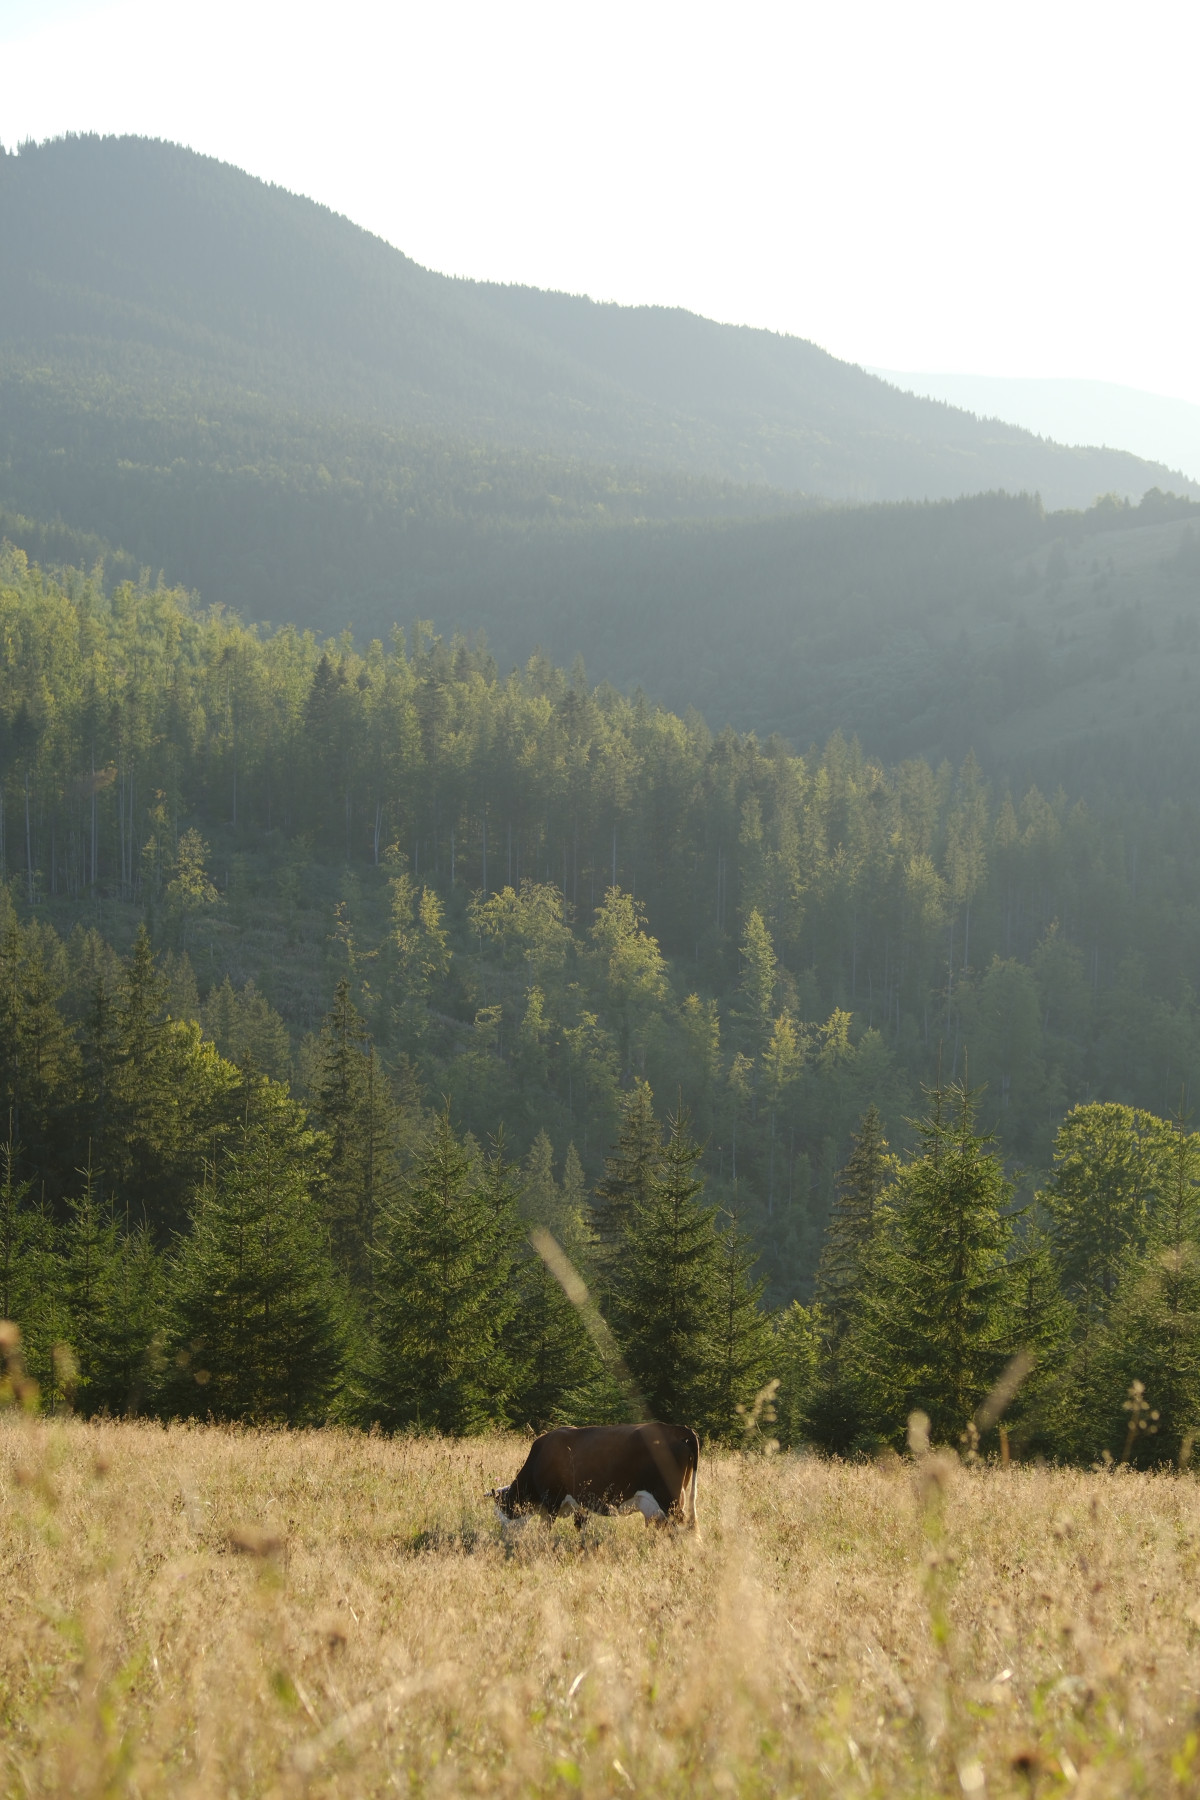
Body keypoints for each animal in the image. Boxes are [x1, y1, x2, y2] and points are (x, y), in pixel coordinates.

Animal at [489, 1425, 698, 1526]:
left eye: (502, 1509)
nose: (504, 1537)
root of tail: (677, 1428)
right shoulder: (580, 1506)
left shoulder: (552, 1501)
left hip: (668, 1499)